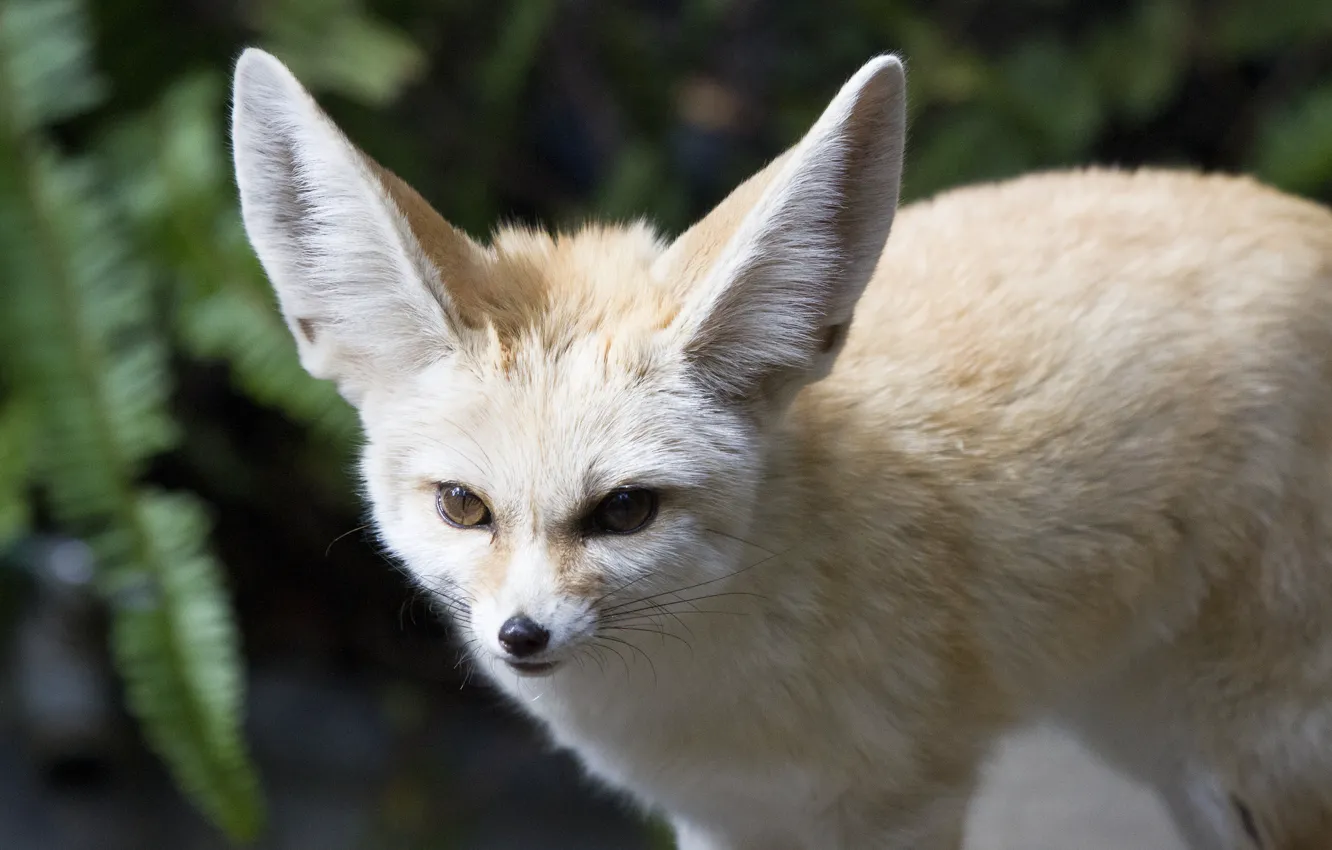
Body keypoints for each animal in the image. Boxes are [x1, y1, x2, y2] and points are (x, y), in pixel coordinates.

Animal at [231, 51, 1332, 850]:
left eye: (625, 510)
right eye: (463, 505)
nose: (522, 637)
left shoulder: (905, 807)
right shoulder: (722, 817)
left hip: (1251, 767)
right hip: (1164, 752)